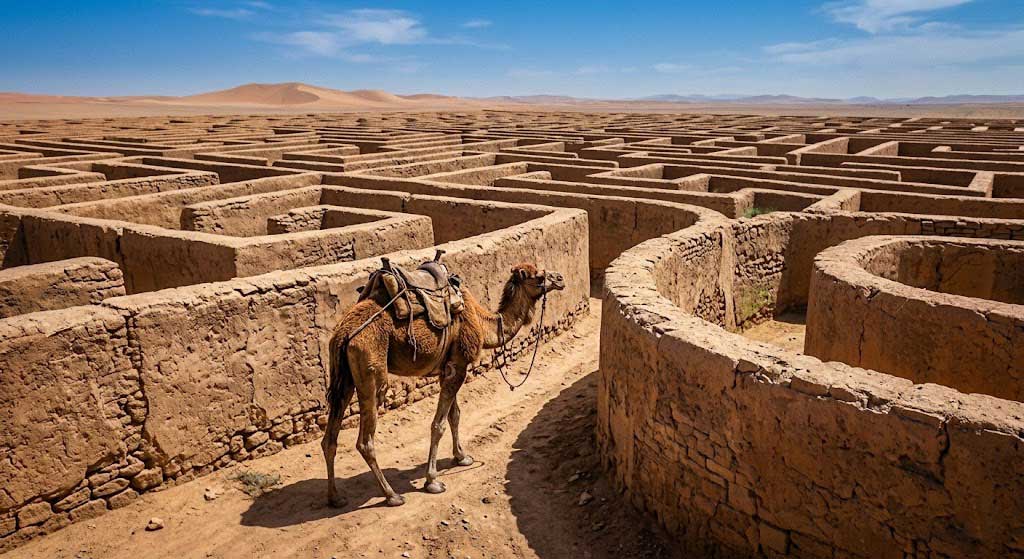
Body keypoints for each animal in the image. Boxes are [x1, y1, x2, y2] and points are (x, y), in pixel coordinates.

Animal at [321, 262, 565, 507]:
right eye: (539, 276)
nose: (560, 278)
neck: (481, 321)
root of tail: (343, 333)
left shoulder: (448, 367)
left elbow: (454, 415)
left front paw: (462, 457)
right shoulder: (459, 365)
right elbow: (438, 425)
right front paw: (432, 481)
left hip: (344, 376)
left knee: (329, 438)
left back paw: (335, 497)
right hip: (371, 367)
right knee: (365, 440)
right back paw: (392, 495)